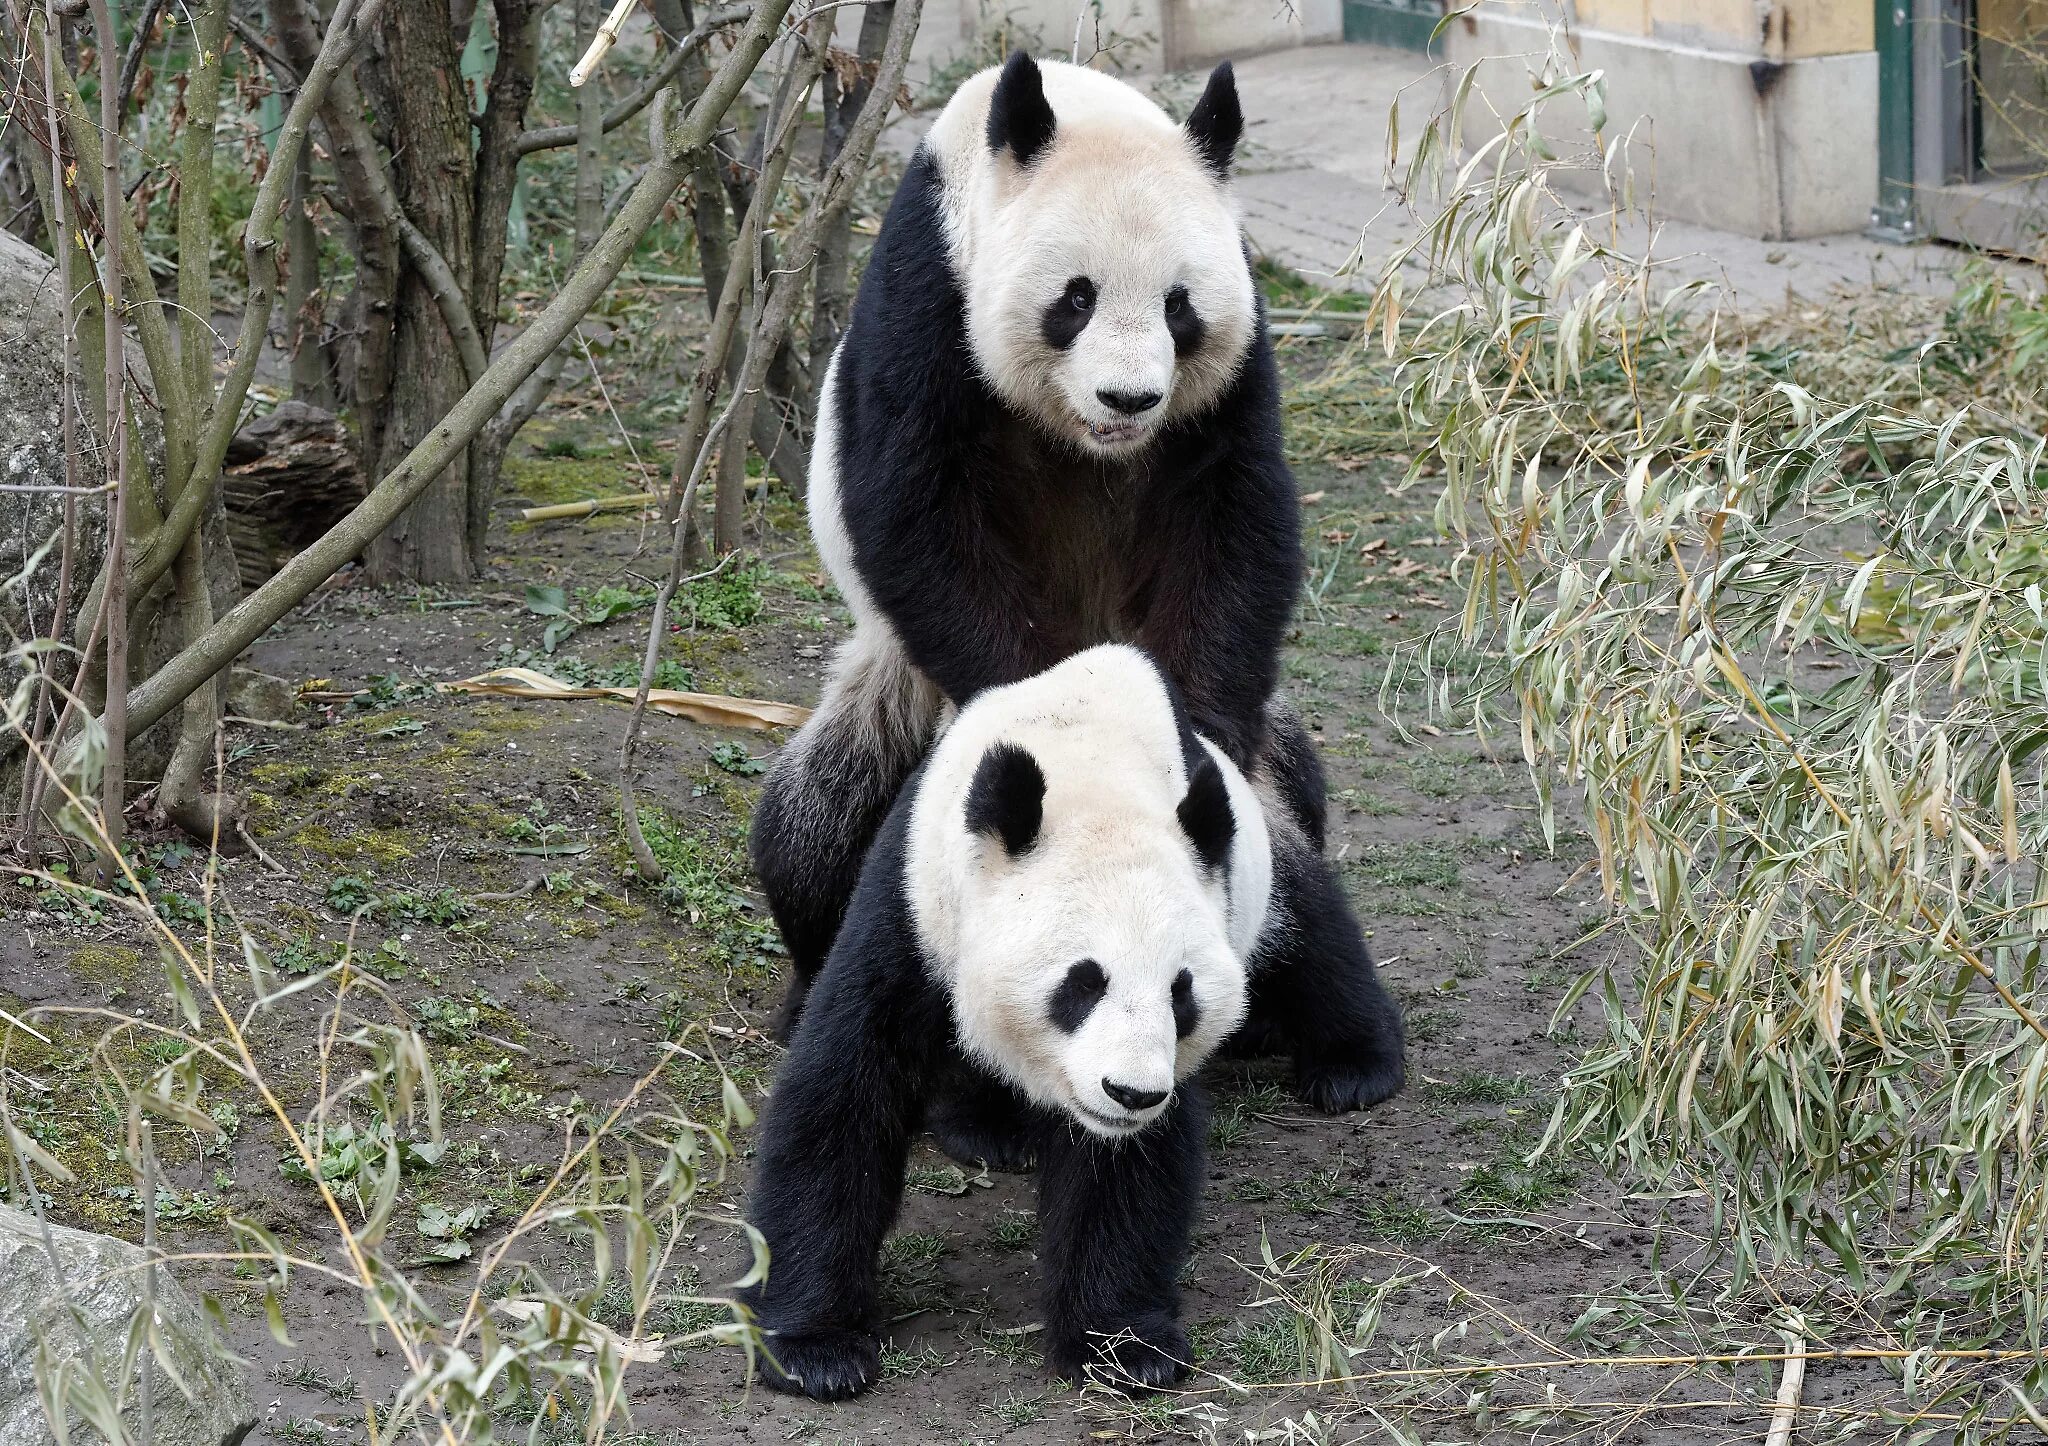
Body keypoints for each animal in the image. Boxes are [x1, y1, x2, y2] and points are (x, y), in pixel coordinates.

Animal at [737, 643, 1376, 1392]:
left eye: (1180, 993)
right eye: (1083, 983)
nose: (1130, 1093)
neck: (1091, 762)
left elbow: (1128, 1166)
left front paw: (1122, 1345)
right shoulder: (915, 902)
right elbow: (846, 1087)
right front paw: (815, 1348)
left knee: (1304, 926)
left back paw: (1356, 1065)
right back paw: (993, 1128)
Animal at [753, 53, 1409, 1130]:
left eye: (1181, 306)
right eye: (1074, 299)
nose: (1129, 398)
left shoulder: (1236, 366)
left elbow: (1237, 522)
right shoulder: (928, 289)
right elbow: (913, 510)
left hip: (1263, 768)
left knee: (1289, 816)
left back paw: (1322, 1040)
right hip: (897, 691)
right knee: (819, 818)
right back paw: (807, 978)